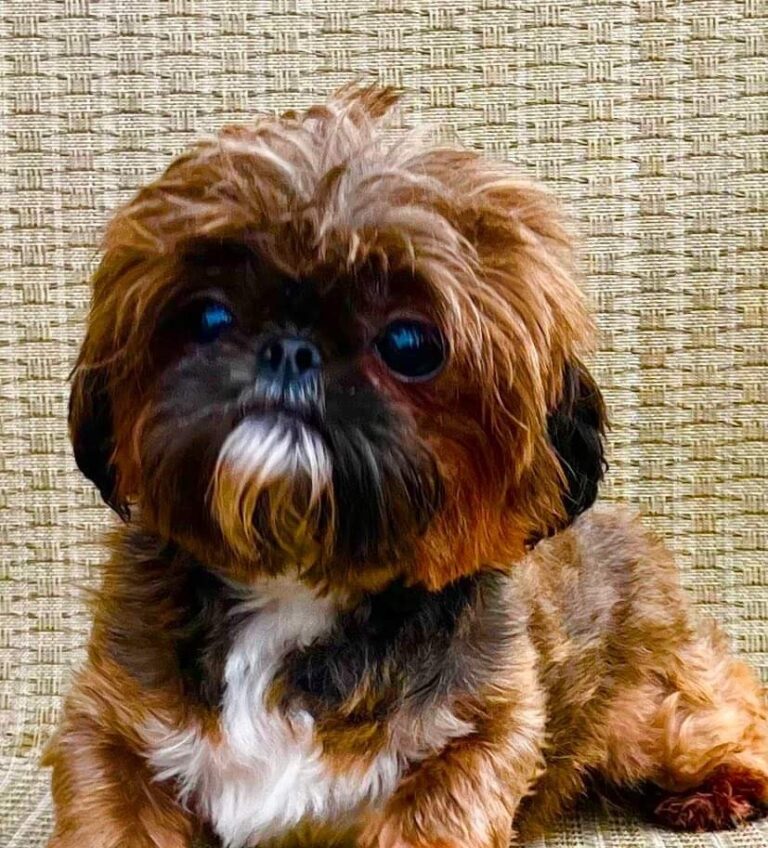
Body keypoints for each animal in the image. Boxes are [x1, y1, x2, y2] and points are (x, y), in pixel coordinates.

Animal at [48, 88, 768, 848]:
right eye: (209, 316)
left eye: (409, 344)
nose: (290, 349)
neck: (295, 581)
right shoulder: (110, 734)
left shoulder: (472, 743)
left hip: (654, 715)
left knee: (730, 714)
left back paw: (714, 793)